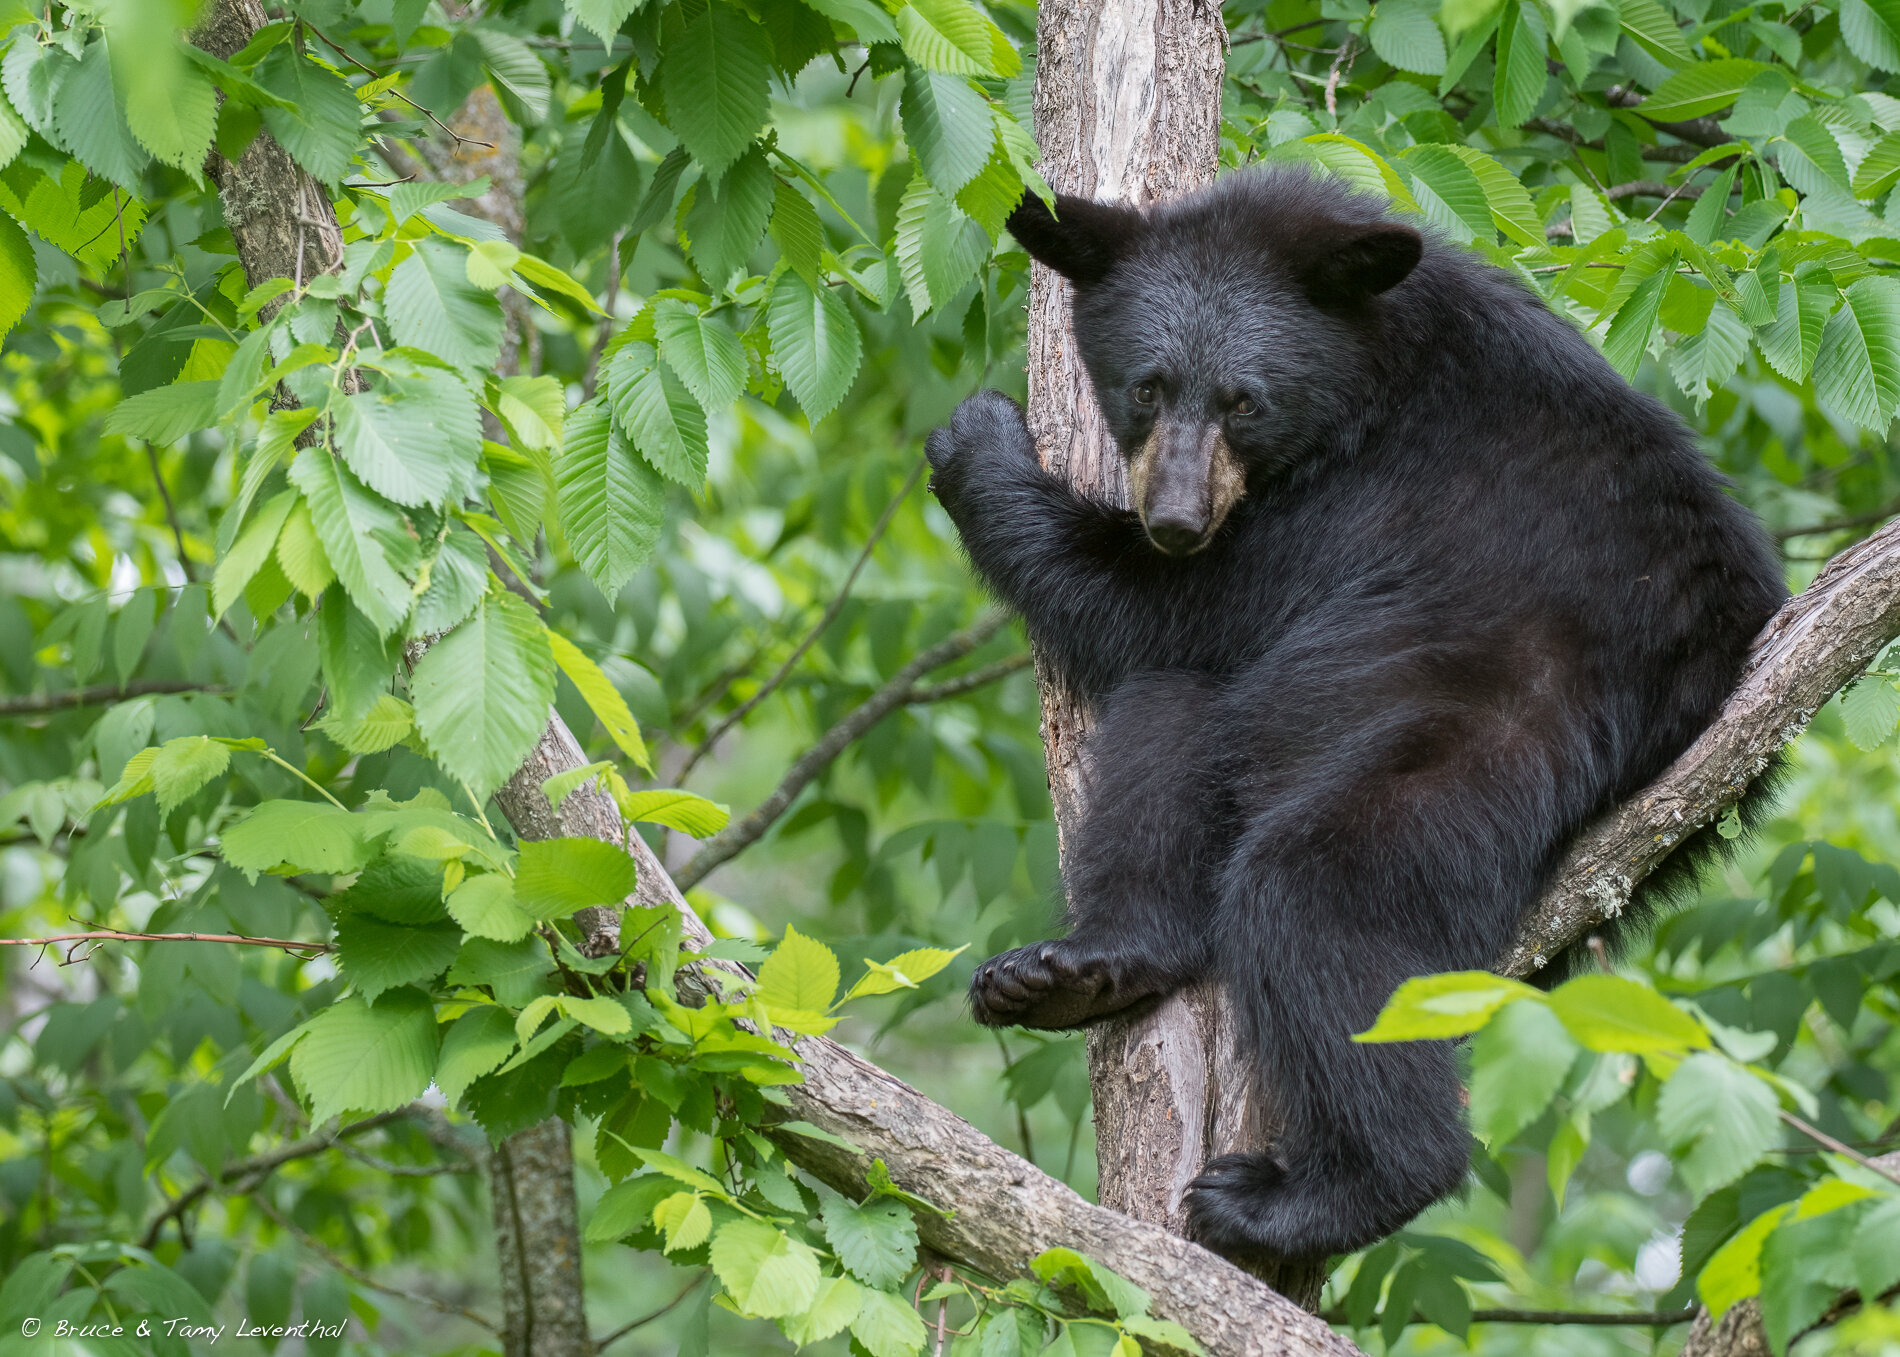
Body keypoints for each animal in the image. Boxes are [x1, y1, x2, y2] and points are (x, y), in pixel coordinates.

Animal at [923, 167, 1786, 1262]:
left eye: (1245, 400)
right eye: (1146, 385)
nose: (1176, 519)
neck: (1380, 367)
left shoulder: (1356, 499)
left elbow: (1159, 603)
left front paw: (979, 438)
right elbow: (1171, 646)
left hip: (1486, 733)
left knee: (1320, 897)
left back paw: (1313, 1192)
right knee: (1178, 713)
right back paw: (1087, 964)